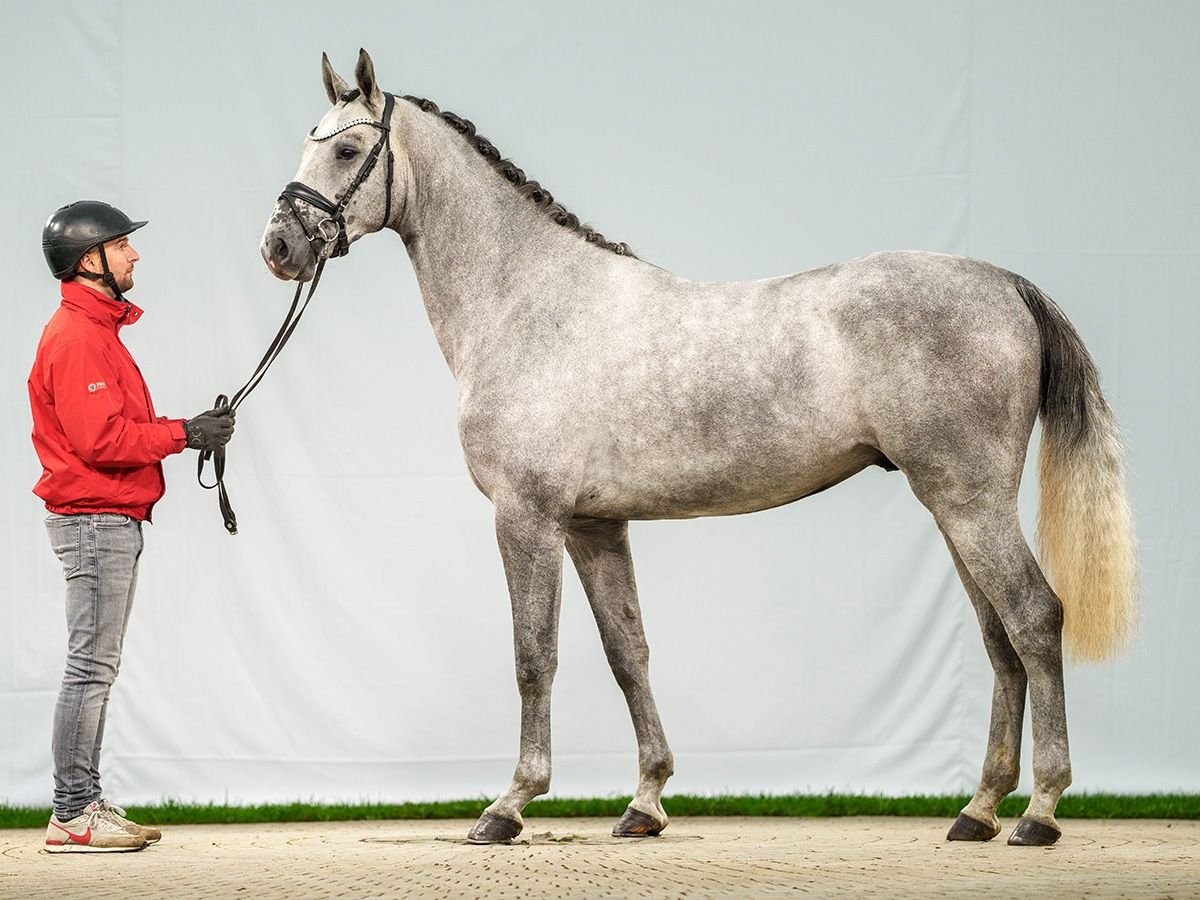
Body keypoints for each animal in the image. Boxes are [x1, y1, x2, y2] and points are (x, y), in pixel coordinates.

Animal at [260, 49, 1132, 849]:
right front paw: (645, 802)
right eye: (309, 140)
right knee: (999, 639)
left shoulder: (527, 518)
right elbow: (628, 652)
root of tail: (1007, 283)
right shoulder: (594, 525)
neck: (528, 303)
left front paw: (508, 806)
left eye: (347, 149)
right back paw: (978, 811)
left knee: (1034, 618)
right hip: (956, 506)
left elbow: (533, 655)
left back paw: (1041, 811)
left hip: (968, 500)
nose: (278, 246)